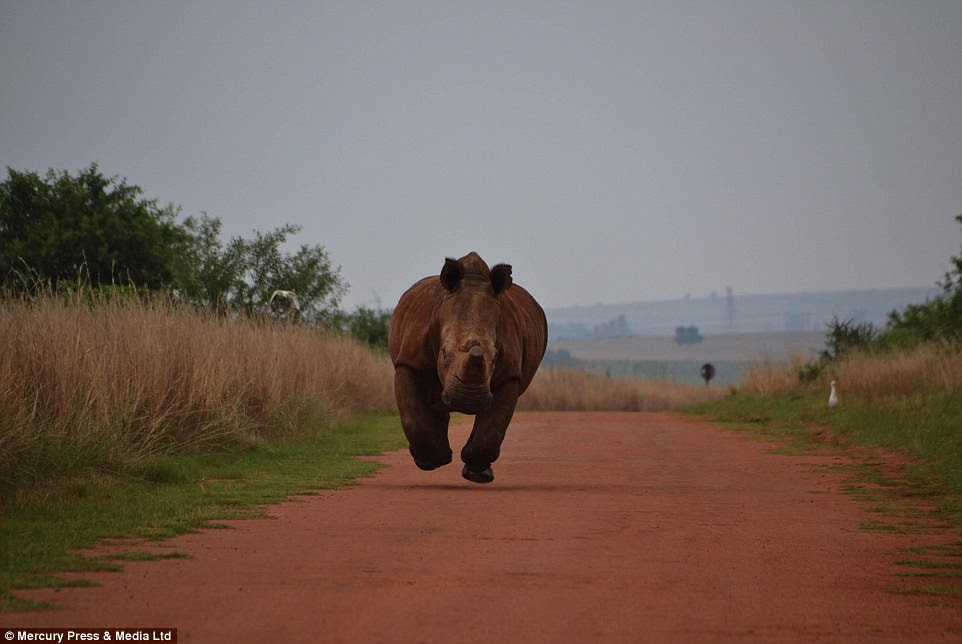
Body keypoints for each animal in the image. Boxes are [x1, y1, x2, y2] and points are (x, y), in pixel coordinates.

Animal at [388, 252, 548, 483]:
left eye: (496, 355)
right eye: (444, 352)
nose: (468, 399)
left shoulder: (510, 374)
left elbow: (493, 427)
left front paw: (478, 475)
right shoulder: (408, 362)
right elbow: (412, 417)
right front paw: (429, 462)